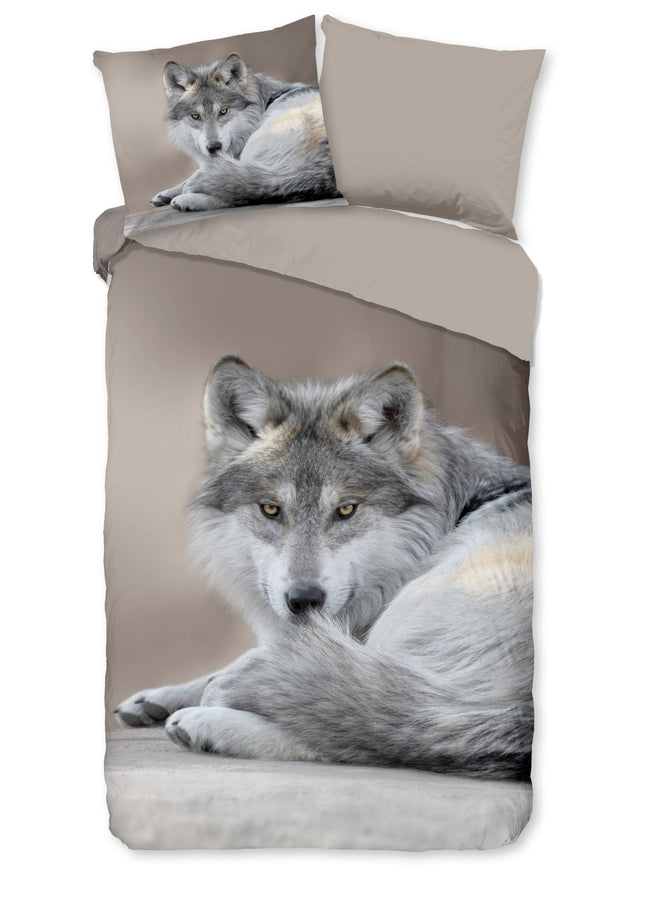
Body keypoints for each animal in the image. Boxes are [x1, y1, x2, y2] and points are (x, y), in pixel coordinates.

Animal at [116, 357, 534, 781]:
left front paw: (213, 692)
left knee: (374, 731)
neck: (456, 511)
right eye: (270, 509)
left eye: (346, 509)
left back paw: (207, 723)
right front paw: (156, 697)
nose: (304, 599)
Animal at [150, 54, 340, 212]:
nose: (214, 147)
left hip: (256, 146)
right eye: (195, 116)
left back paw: (187, 200)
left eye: (224, 111)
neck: (263, 104)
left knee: (245, 192)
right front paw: (165, 193)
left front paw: (184, 189)